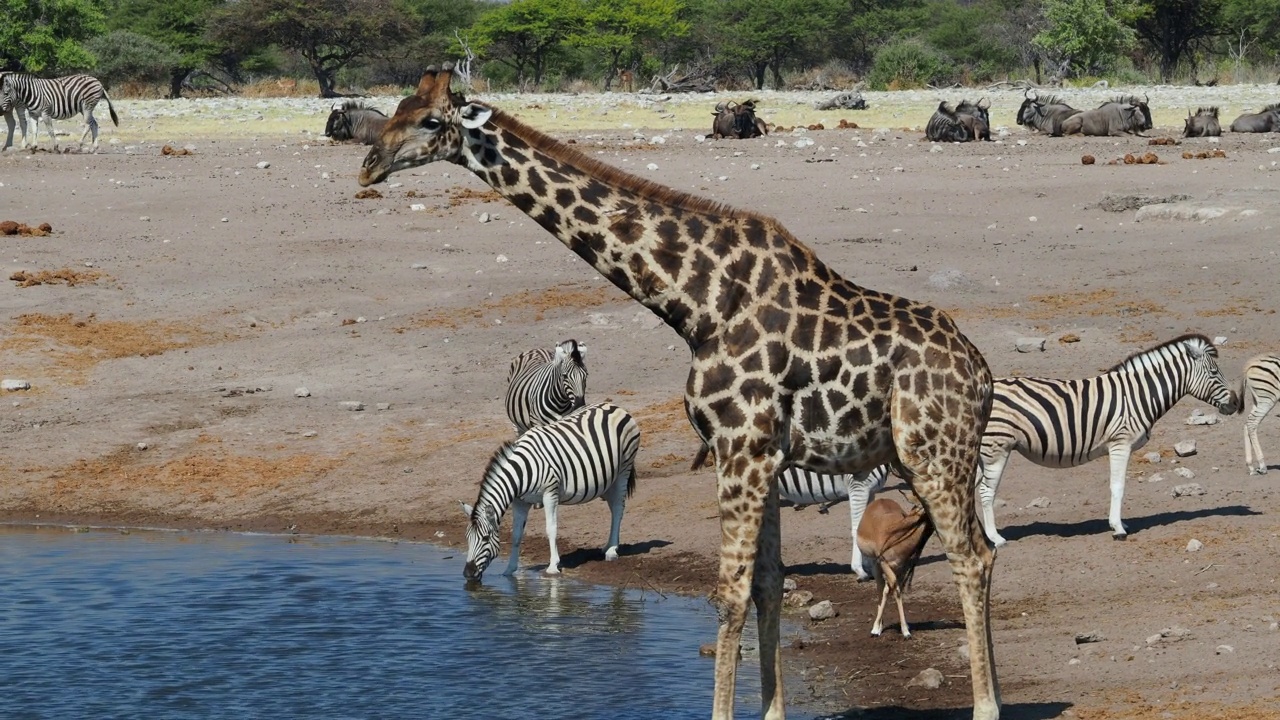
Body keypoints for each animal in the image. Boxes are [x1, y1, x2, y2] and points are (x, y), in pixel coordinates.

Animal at [460, 397, 640, 576]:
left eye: (485, 538)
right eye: (467, 537)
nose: (468, 573)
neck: (522, 471)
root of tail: (613, 405)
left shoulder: (550, 494)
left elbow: (551, 529)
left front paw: (553, 566)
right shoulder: (520, 501)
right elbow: (516, 534)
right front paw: (509, 570)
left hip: (624, 468)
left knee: (618, 507)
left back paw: (612, 551)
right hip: (609, 480)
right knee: (613, 507)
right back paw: (609, 545)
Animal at [860, 497, 931, 635]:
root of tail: (881, 500)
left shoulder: (901, 567)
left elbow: (895, 589)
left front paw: (906, 628)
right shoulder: (884, 563)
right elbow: (894, 590)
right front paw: (877, 629)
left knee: (885, 589)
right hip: (875, 564)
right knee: (880, 587)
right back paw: (877, 627)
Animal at [972, 333, 1233, 543]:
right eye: (1213, 372)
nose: (1236, 403)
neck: (1139, 394)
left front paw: (1121, 523)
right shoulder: (1120, 443)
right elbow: (1118, 485)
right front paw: (1118, 528)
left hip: (983, 451)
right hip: (996, 448)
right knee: (985, 491)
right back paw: (995, 538)